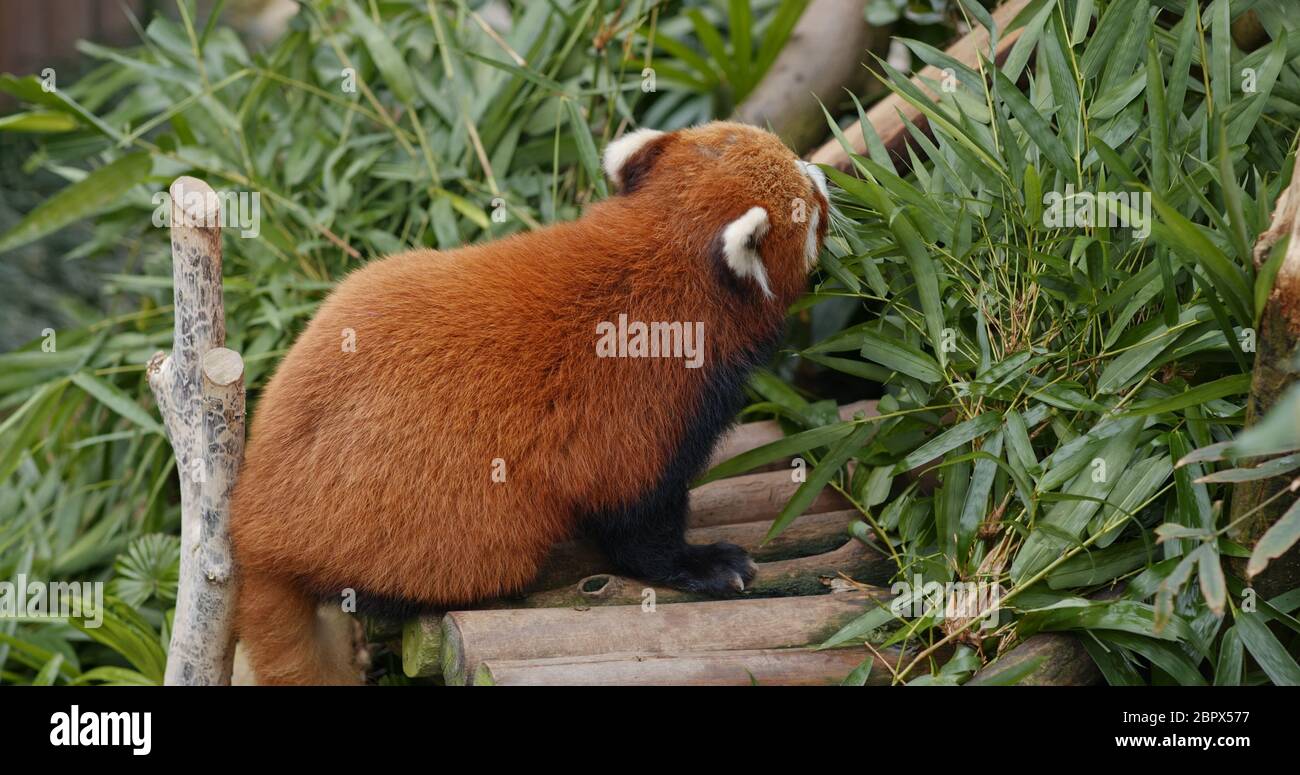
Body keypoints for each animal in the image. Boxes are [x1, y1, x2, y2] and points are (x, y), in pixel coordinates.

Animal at [229, 121, 831, 684]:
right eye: (807, 193)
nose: (827, 173)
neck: (665, 253)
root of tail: (252, 523)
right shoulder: (645, 403)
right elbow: (636, 515)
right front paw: (703, 565)